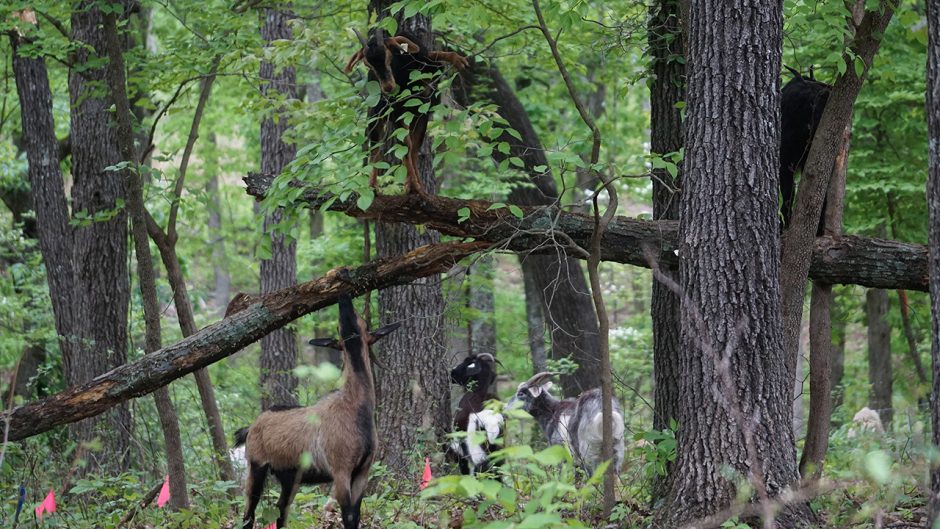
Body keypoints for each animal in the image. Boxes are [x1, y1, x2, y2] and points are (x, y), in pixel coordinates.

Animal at [234, 294, 399, 529]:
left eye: (362, 322)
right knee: (249, 514)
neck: (356, 408)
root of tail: (250, 428)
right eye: (340, 327)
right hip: (256, 464)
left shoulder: (362, 471)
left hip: (290, 475)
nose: (344, 299)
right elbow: (348, 517)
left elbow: (355, 517)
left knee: (280, 509)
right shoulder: (340, 469)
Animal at [344, 27, 468, 196]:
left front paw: (458, 60)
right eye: (367, 63)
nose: (388, 87)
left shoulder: (423, 110)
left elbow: (412, 147)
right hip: (377, 116)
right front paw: (412, 186)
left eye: (389, 55)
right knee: (376, 148)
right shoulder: (395, 113)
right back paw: (373, 186)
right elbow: (404, 145)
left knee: (413, 148)